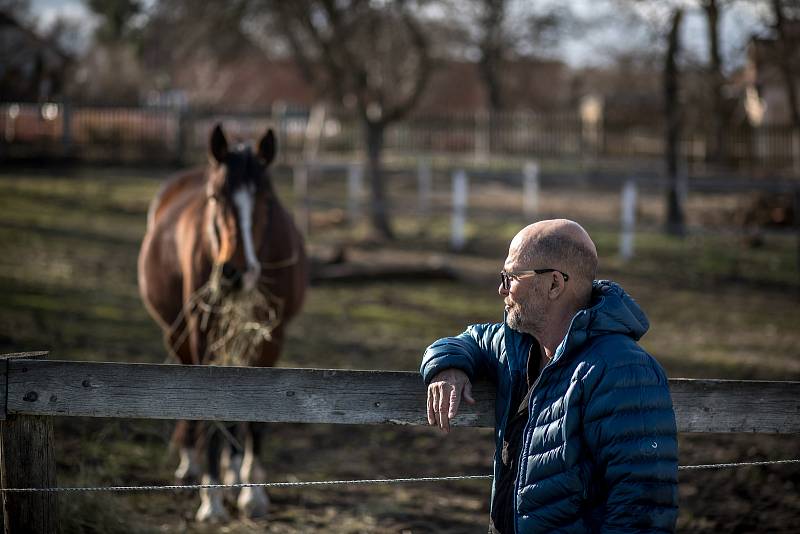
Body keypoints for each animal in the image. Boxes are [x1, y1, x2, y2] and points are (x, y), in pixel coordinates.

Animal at [138, 122, 306, 524]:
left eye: (266, 199)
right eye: (215, 197)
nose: (234, 272)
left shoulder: (270, 338)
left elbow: (255, 416)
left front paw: (252, 492)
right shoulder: (204, 335)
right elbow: (210, 407)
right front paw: (211, 498)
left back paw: (234, 470)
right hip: (179, 334)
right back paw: (192, 463)